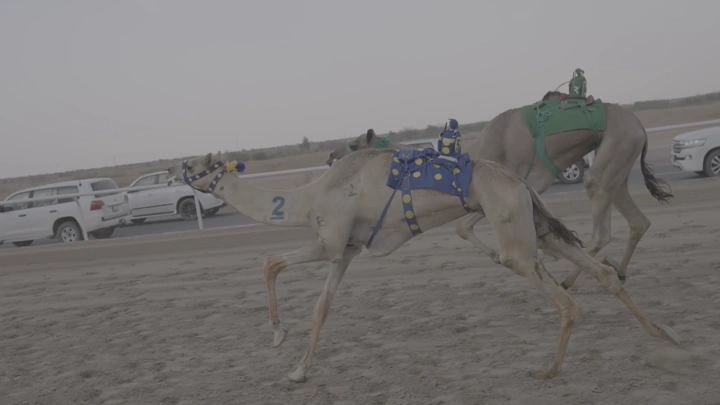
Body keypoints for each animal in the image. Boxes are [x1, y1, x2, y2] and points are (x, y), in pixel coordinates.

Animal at [168, 145, 680, 383]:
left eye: (196, 165)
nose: (175, 168)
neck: (305, 198)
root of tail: (518, 182)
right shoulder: (346, 251)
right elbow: (322, 308)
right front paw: (299, 371)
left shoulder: (328, 242)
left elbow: (270, 261)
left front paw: (277, 336)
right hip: (534, 225)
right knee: (603, 273)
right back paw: (664, 335)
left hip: (513, 234)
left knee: (564, 299)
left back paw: (549, 371)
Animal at [327, 94, 674, 290]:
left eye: (355, 143)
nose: (330, 156)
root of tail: (641, 127)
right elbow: (463, 227)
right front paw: (505, 254)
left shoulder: (512, 186)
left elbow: (462, 227)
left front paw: (508, 255)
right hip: (620, 162)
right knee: (637, 220)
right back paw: (619, 273)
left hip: (614, 150)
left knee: (600, 218)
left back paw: (572, 279)